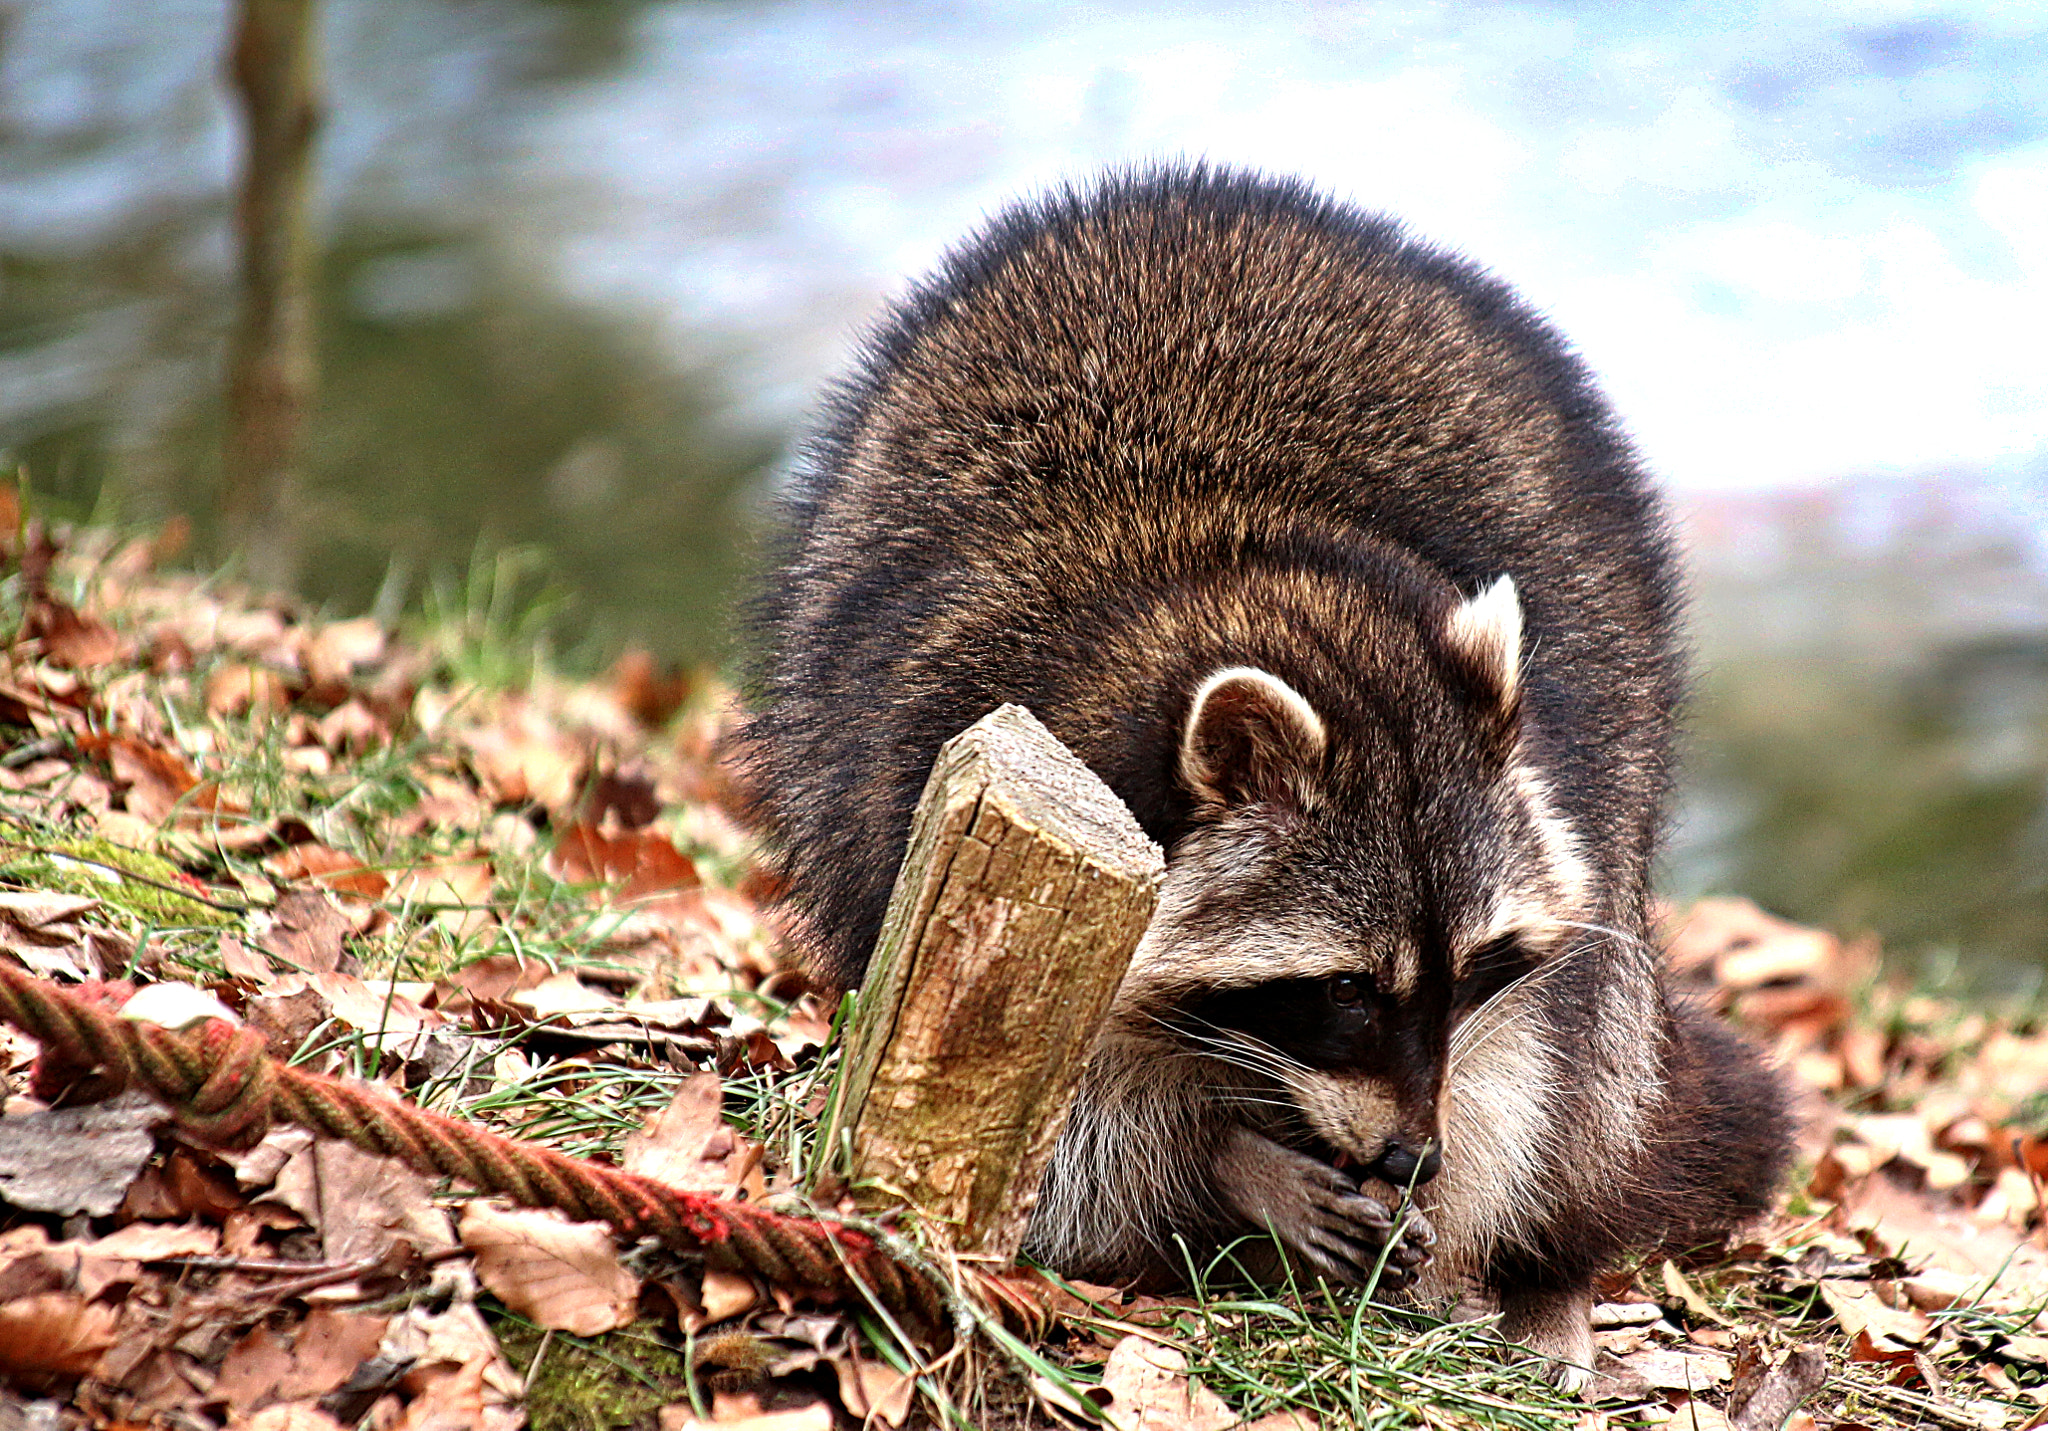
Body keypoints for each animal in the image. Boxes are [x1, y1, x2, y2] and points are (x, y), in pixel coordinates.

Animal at [741, 167, 1794, 1392]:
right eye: (1342, 989)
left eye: (1467, 971)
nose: (1411, 1157)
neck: (1237, 560)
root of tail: (1217, 194)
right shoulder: (913, 765)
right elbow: (1051, 1123)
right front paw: (1223, 1160)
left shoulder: (1564, 789)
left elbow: (1534, 1057)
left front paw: (1473, 1216)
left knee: (1597, 1051)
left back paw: (1550, 1263)